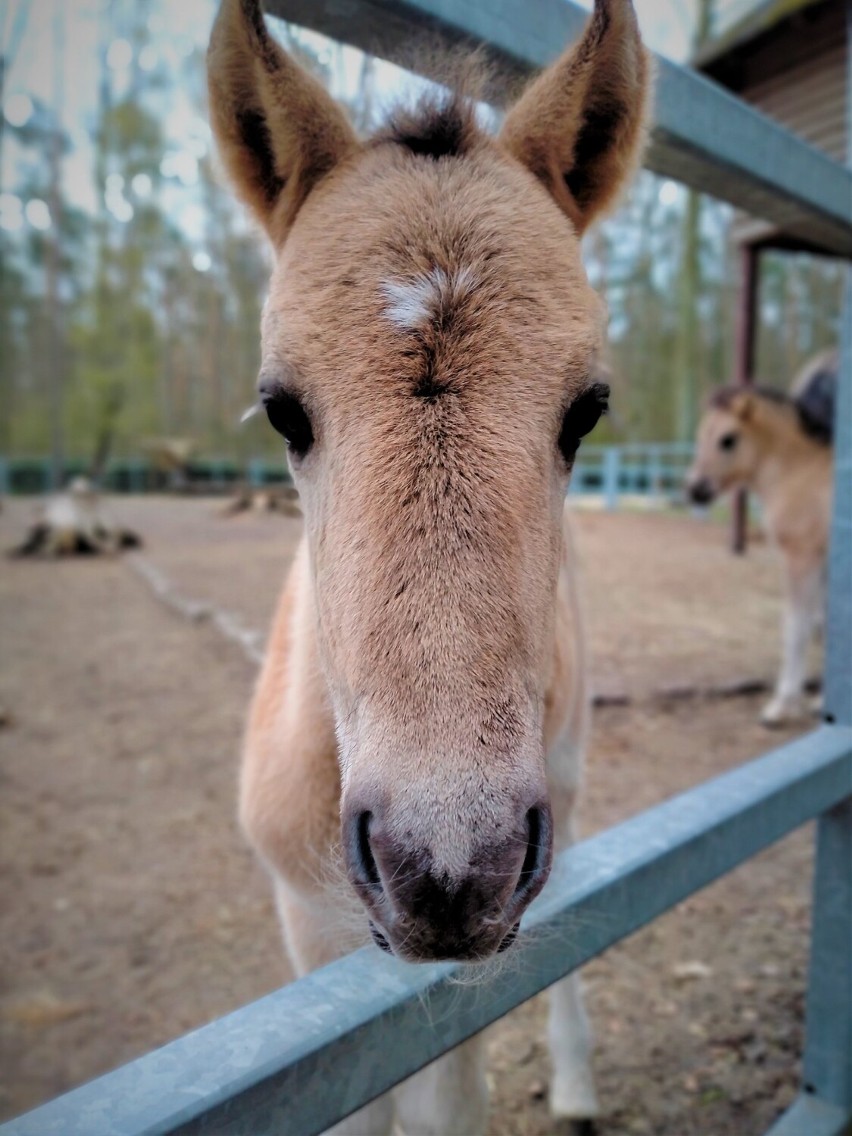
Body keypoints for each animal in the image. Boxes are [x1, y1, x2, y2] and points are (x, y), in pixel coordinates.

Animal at [686, 372, 836, 727]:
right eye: (701, 434)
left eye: (728, 439)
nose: (695, 489)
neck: (801, 475)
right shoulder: (824, 561)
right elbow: (826, 625)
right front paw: (820, 701)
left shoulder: (801, 557)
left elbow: (797, 626)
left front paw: (781, 706)